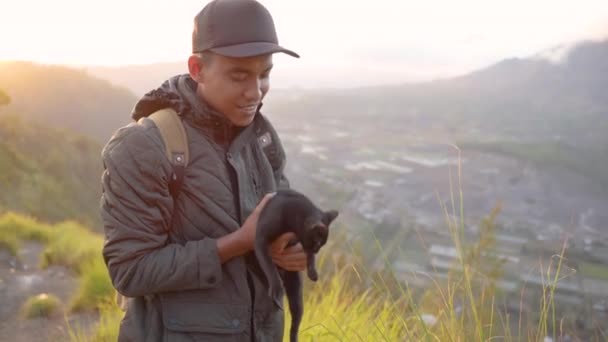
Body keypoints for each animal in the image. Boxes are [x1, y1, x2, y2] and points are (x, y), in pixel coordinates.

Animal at [255, 190, 340, 342]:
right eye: (318, 244)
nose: (317, 250)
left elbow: (308, 255)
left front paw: (312, 271)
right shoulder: (260, 238)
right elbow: (269, 266)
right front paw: (276, 288)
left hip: (297, 298)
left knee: (295, 324)